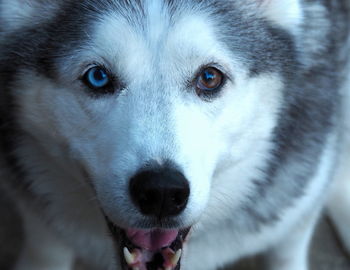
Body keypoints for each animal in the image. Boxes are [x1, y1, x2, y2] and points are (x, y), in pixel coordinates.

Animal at [0, 0, 350, 270]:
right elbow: (45, 248)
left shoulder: (297, 213)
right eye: (97, 77)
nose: (161, 193)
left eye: (209, 78)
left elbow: (287, 250)